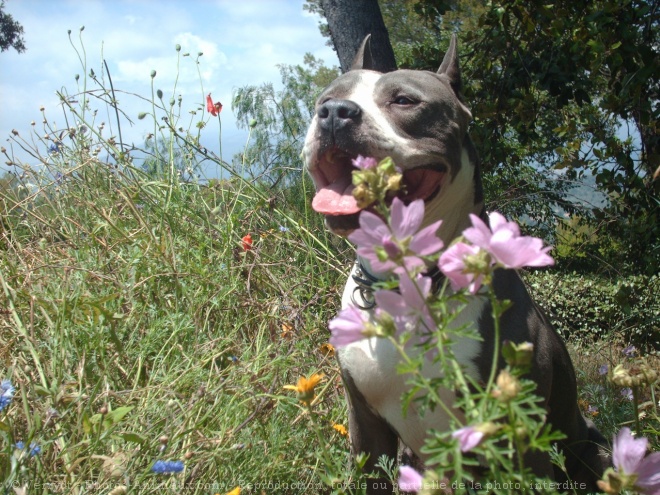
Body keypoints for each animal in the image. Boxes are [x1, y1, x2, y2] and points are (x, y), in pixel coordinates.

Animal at [304, 34, 608, 492]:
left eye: (404, 100)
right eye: (324, 99)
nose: (335, 113)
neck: (406, 283)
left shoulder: (521, 437)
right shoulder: (366, 430)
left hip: (592, 448)